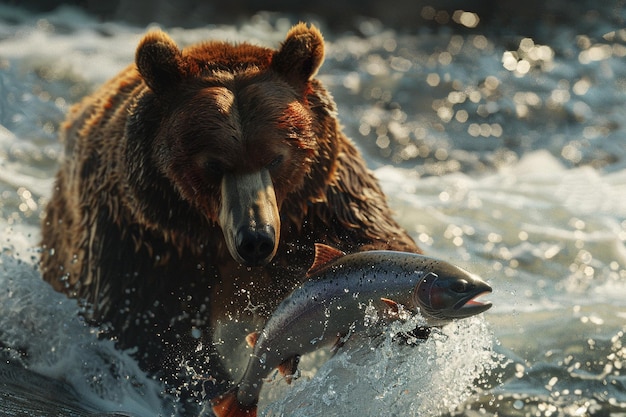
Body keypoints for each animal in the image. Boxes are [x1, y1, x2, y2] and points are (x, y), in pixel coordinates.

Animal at [40, 23, 420, 412]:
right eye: (212, 164)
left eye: (276, 157)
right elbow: (144, 324)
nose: (256, 240)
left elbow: (375, 238)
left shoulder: (323, 201)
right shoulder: (144, 236)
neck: (211, 237)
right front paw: (203, 383)